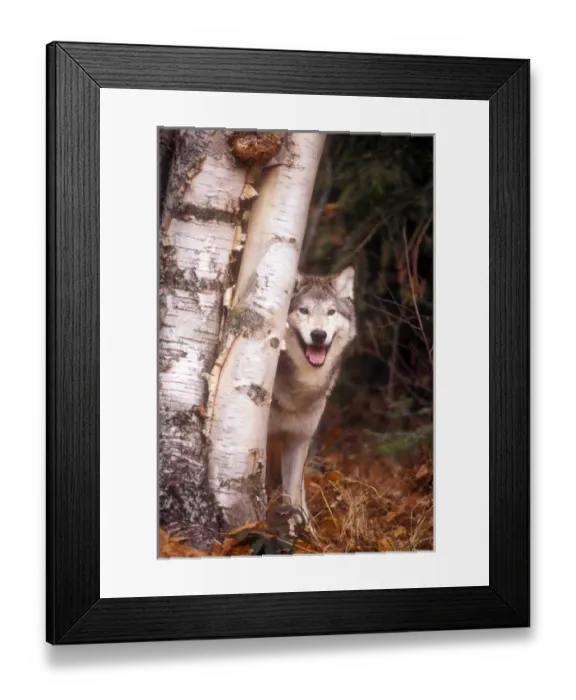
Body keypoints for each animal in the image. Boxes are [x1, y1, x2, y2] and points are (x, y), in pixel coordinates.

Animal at [267, 266, 356, 523]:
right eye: (303, 310)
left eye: (331, 311)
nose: (318, 334)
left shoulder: (299, 439)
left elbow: (293, 489)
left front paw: (299, 522)